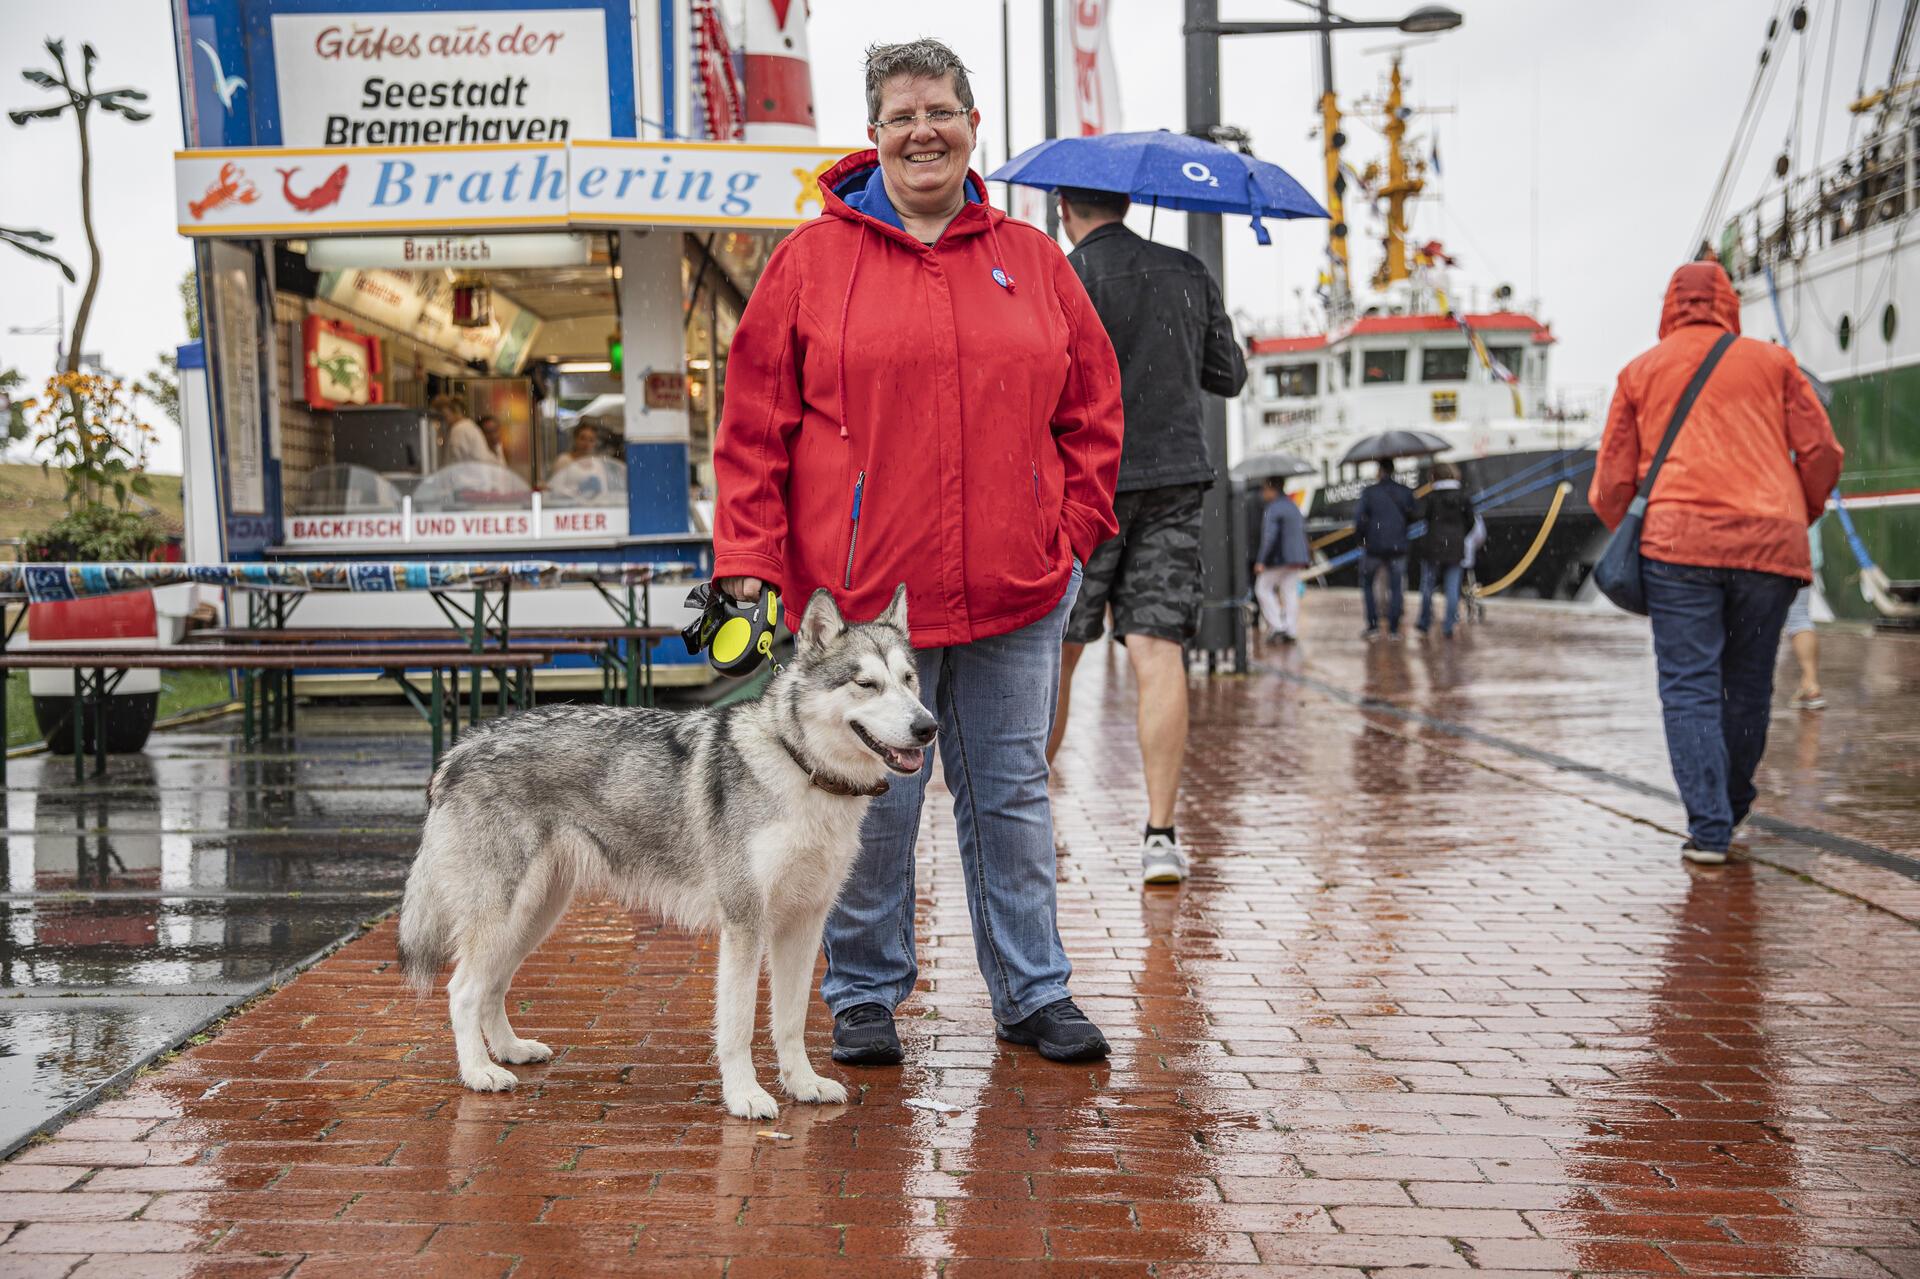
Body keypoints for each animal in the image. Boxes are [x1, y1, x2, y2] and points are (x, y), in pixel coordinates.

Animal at [393, 583, 933, 1113]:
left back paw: (510, 1051)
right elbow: (738, 1026)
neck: (798, 766)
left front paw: (803, 1085)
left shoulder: (804, 924)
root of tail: (459, 749)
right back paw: (479, 1073)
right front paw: (745, 1096)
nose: (928, 727)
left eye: (909, 680)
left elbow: (791, 1022)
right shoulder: (744, 925)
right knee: (462, 991)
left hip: (533, 916)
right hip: (505, 914)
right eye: (866, 684)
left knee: (492, 986)